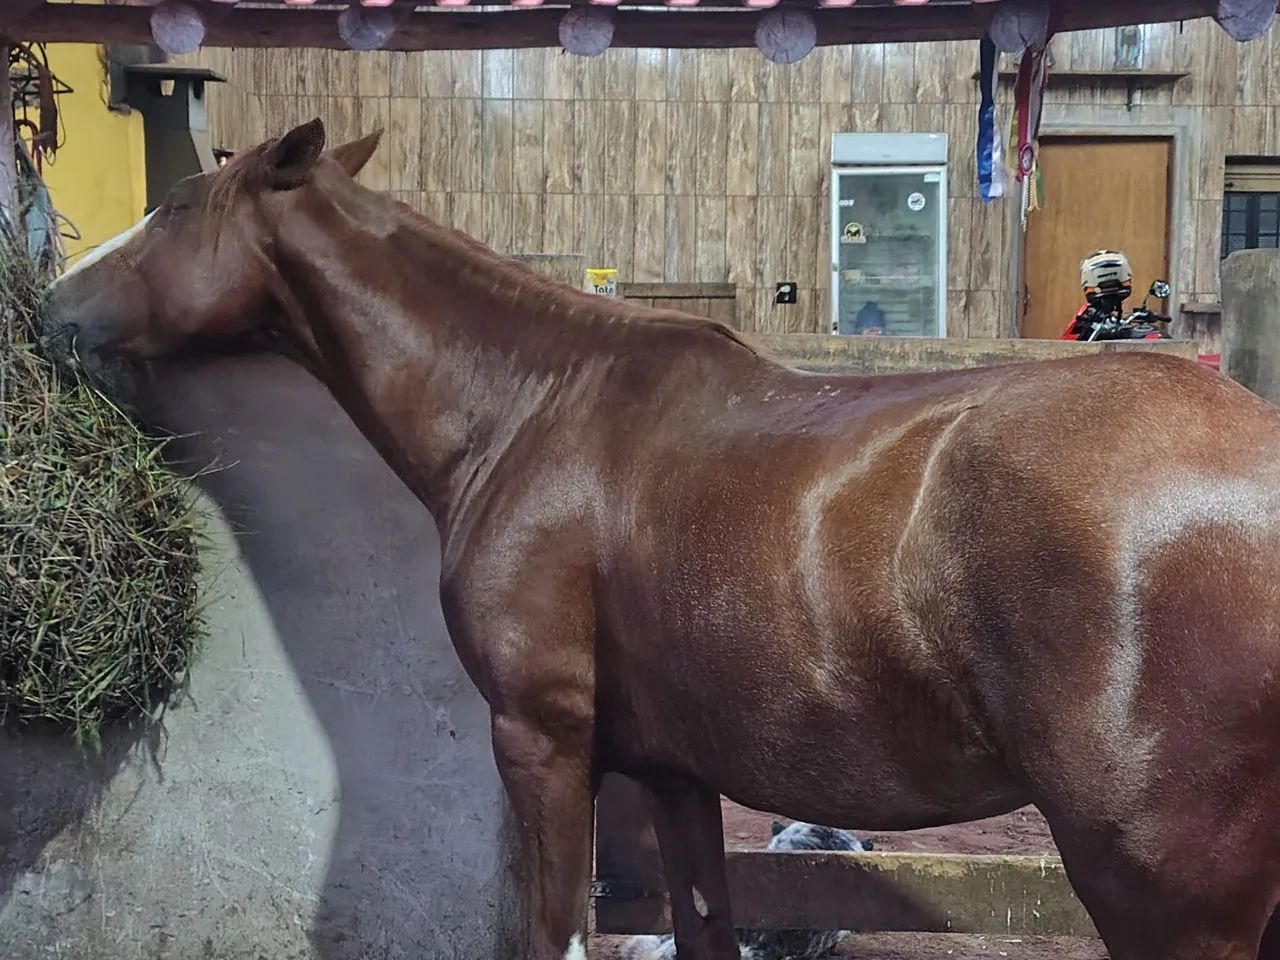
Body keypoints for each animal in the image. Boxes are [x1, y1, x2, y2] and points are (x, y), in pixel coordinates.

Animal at [42, 118, 1280, 960]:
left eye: (176, 205)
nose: (49, 305)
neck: (528, 409)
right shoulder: (677, 777)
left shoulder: (542, 742)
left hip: (1159, 884)